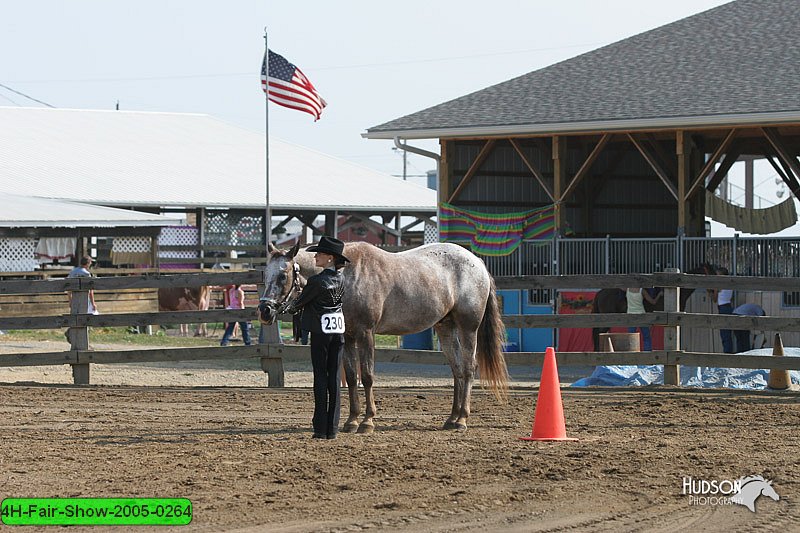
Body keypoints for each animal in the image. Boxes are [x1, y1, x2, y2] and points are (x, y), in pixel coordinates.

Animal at [260, 241, 510, 432]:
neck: (346, 276)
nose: (265, 311)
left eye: (283, 275)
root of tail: (477, 262)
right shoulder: (348, 337)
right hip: (446, 327)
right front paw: (351, 421)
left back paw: (462, 420)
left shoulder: (366, 334)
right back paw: (451, 418)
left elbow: (368, 376)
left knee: (468, 368)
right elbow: (352, 378)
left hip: (468, 328)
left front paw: (367, 422)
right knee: (457, 370)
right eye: (265, 274)